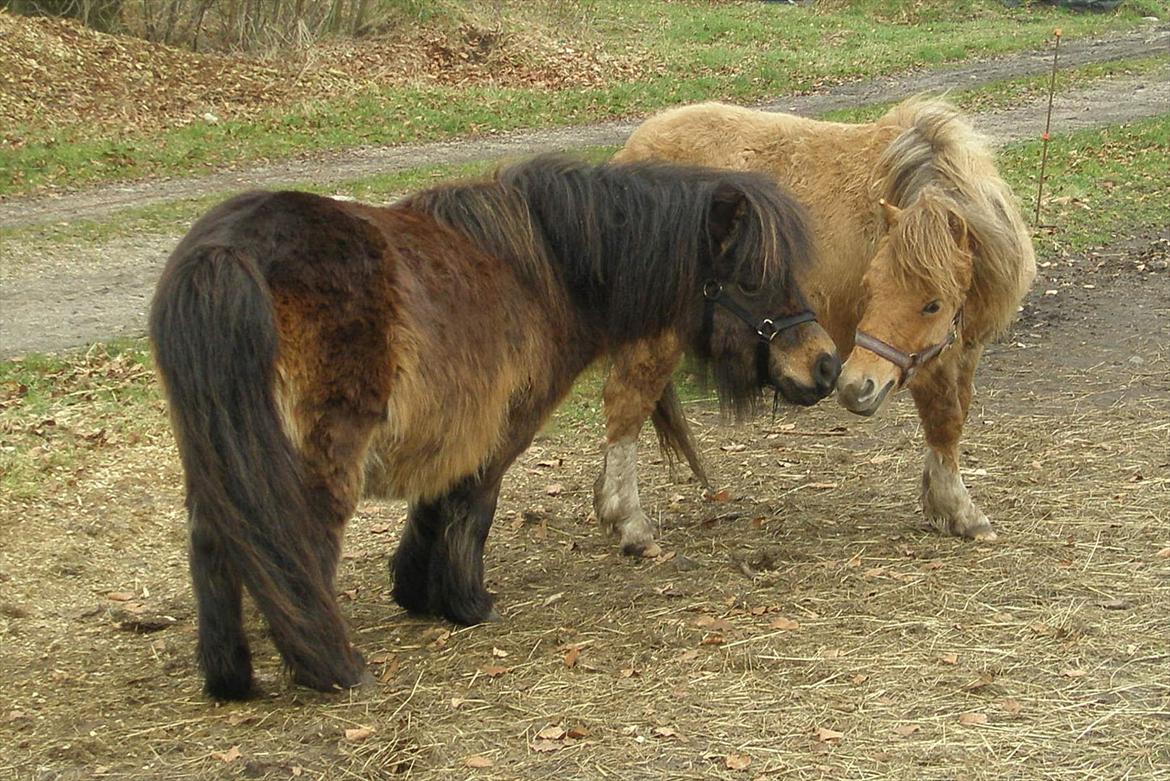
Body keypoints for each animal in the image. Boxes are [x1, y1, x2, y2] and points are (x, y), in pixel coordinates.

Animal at [148, 154, 842, 701]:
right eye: (752, 279)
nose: (826, 365)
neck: (542, 270)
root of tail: (227, 251)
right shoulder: (499, 433)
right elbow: (470, 511)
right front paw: (466, 604)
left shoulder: (454, 431)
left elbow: (432, 508)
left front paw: (416, 593)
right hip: (318, 462)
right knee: (300, 551)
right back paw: (334, 667)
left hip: (219, 459)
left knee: (213, 548)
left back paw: (230, 679)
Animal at [617, 97, 1038, 547]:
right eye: (869, 287)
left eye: (932, 305)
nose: (853, 388)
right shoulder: (928, 361)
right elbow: (942, 422)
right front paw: (960, 510)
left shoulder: (960, 349)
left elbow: (956, 418)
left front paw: (940, 505)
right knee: (625, 404)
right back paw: (628, 523)